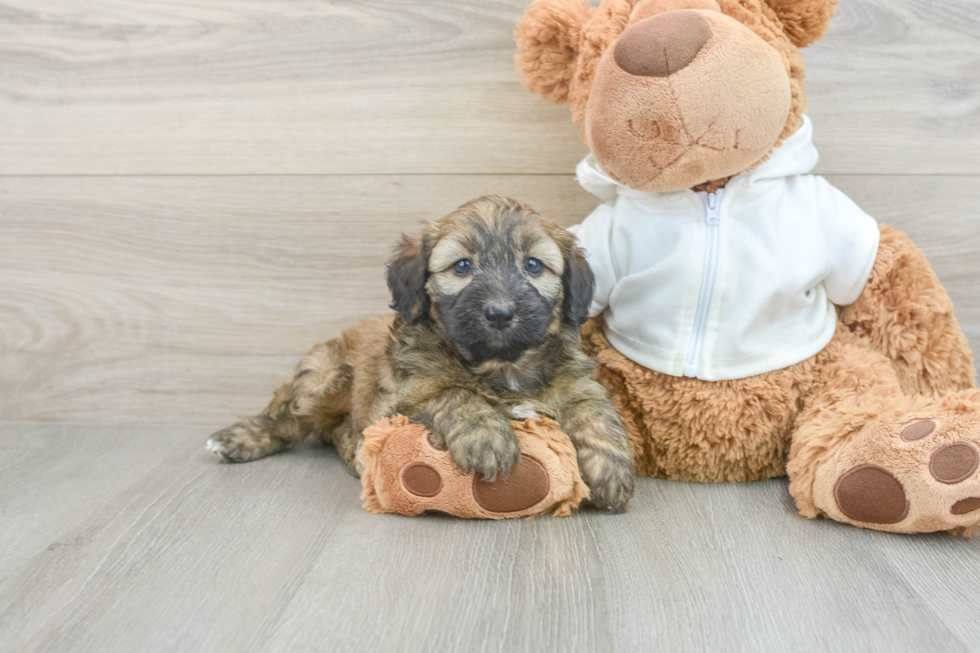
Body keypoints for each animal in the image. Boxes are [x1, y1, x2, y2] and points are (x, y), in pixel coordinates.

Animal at [208, 196, 636, 512]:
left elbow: (598, 415)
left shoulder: (578, 383)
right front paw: (486, 437)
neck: (502, 365)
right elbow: (453, 393)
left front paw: (612, 472)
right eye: (462, 266)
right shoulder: (406, 395)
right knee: (288, 421)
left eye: (533, 265)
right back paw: (241, 439)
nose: (500, 313)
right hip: (322, 377)